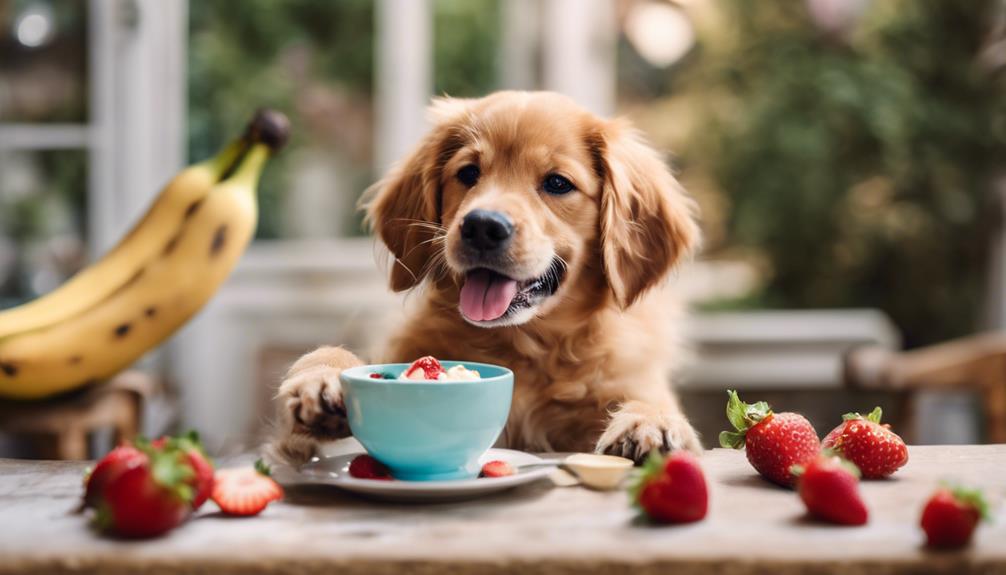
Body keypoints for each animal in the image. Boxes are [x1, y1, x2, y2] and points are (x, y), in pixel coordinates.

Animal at [271, 90, 704, 466]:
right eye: (468, 173)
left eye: (557, 183)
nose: (482, 226)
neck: (525, 345)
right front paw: (321, 378)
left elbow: (651, 402)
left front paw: (651, 421)